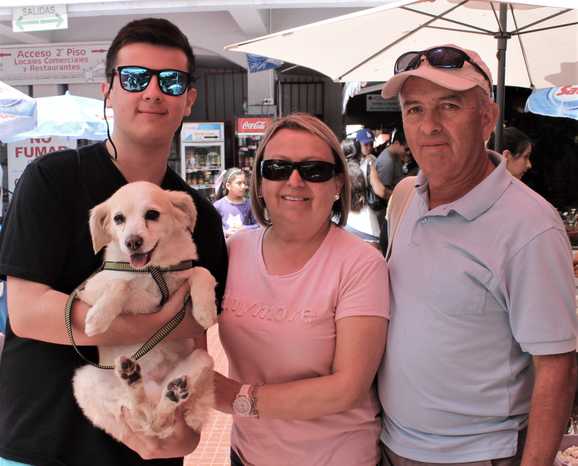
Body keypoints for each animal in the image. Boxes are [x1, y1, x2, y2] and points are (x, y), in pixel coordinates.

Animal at [72, 180, 216, 442]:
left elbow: (202, 272)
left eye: (152, 215)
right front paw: (97, 319)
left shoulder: (183, 274)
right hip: (84, 380)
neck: (151, 270)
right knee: (139, 415)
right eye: (118, 218)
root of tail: (153, 387)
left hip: (202, 358)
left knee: (158, 420)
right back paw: (132, 377)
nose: (132, 242)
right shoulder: (87, 292)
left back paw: (169, 393)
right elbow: (121, 283)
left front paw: (205, 310)